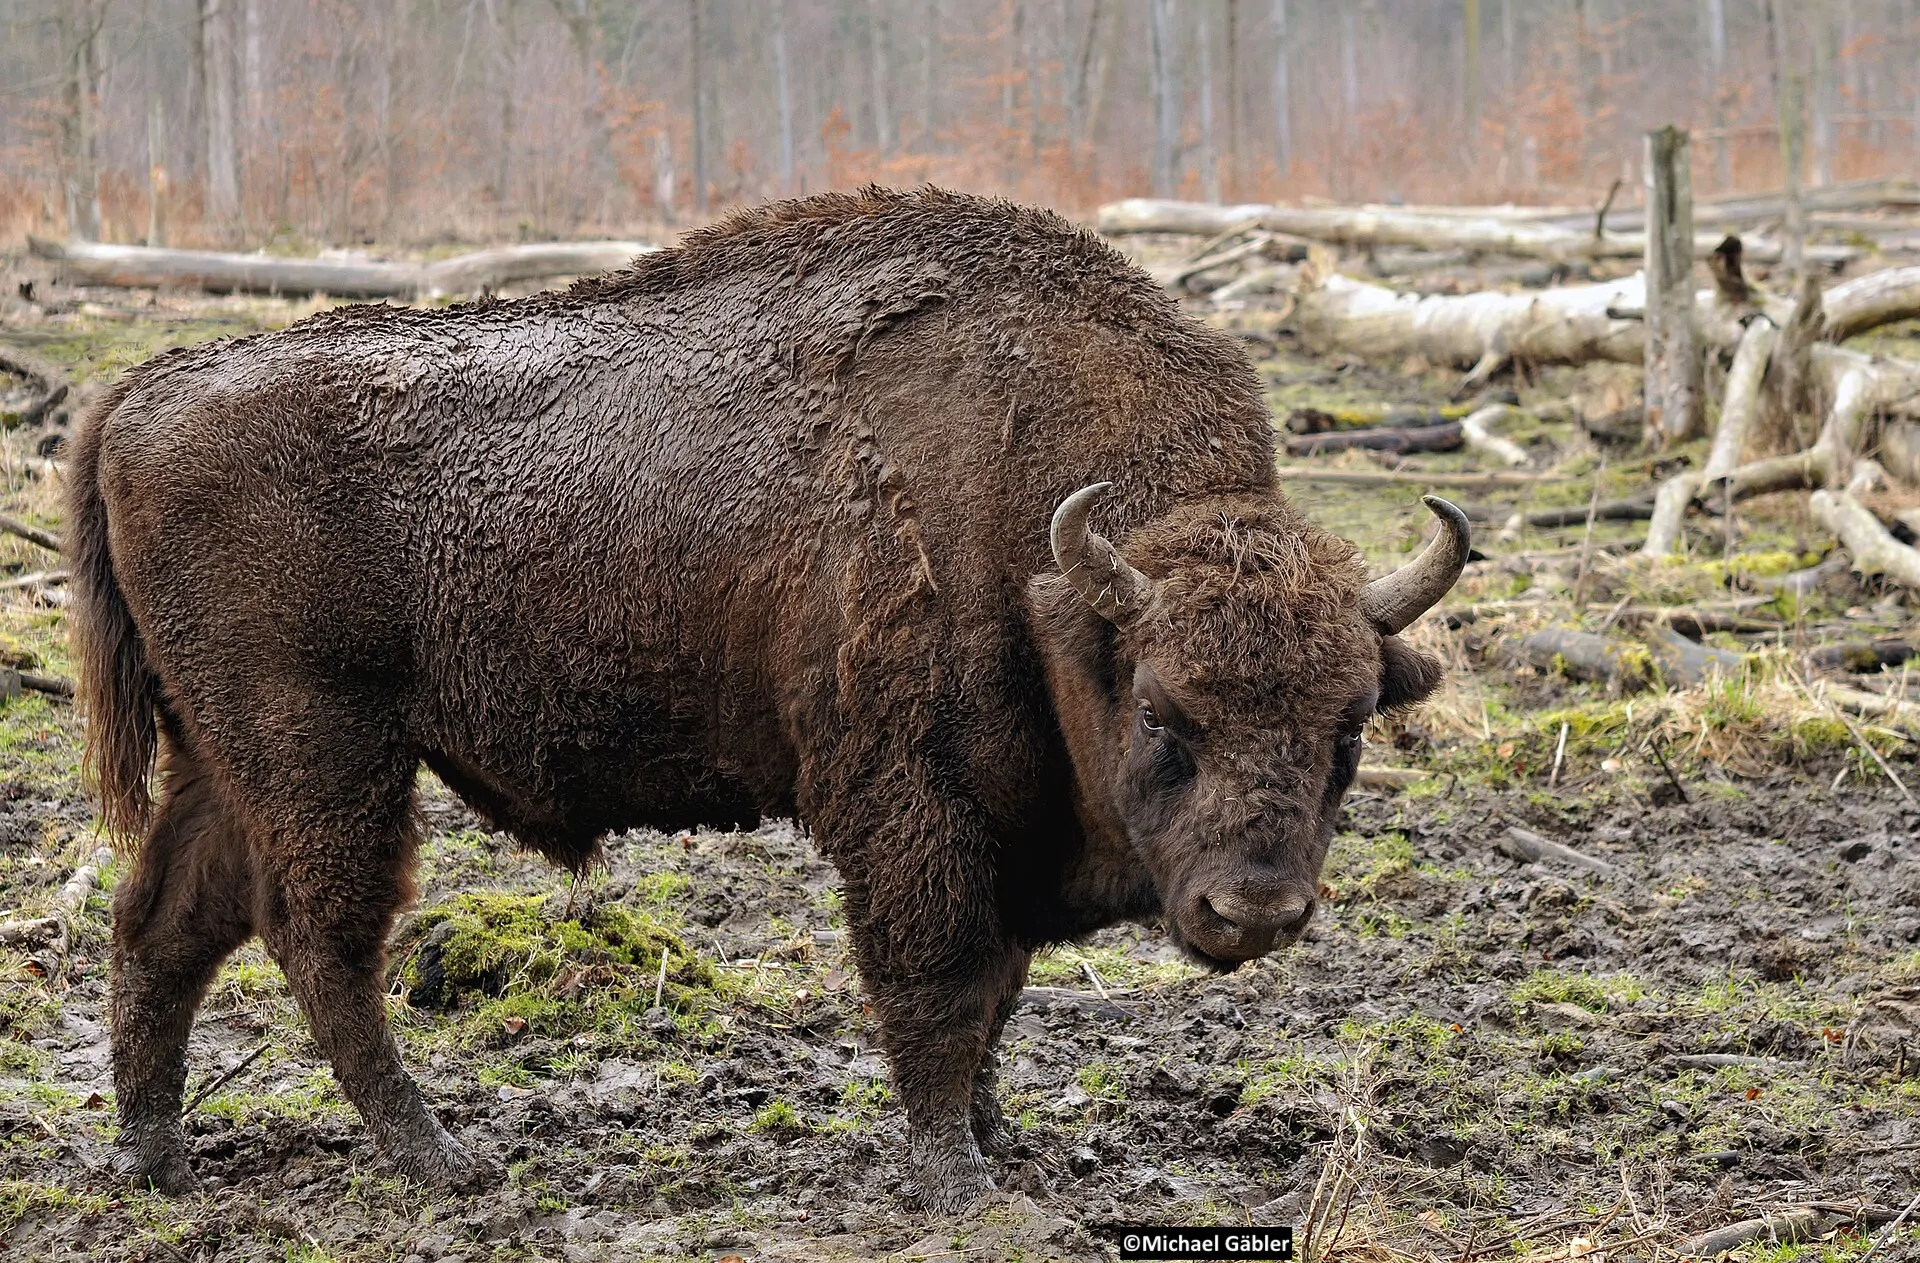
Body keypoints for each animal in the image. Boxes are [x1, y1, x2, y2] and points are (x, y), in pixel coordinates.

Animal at [69, 187, 1465, 1212]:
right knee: (316, 939)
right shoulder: (915, 809)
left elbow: (999, 993)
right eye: (1166, 714)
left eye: (1351, 726)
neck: (1050, 569)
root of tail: (138, 389)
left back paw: (155, 1159)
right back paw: (443, 1160)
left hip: (223, 756)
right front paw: (958, 1181)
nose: (1256, 911)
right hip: (324, 754)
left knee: (164, 923)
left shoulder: (1005, 828)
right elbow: (941, 983)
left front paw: (998, 1140)